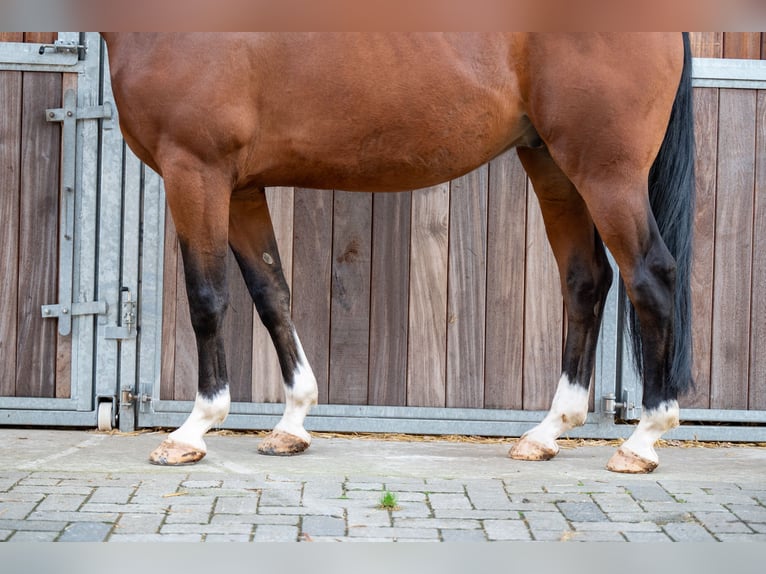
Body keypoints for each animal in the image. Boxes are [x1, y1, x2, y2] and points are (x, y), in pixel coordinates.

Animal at [102, 31, 696, 474]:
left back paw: (643, 440)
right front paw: (292, 424)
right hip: (553, 167)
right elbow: (272, 295)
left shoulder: (196, 170)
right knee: (585, 283)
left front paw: (192, 431)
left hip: (607, 173)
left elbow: (207, 299)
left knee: (652, 277)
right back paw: (547, 432)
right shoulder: (242, 188)